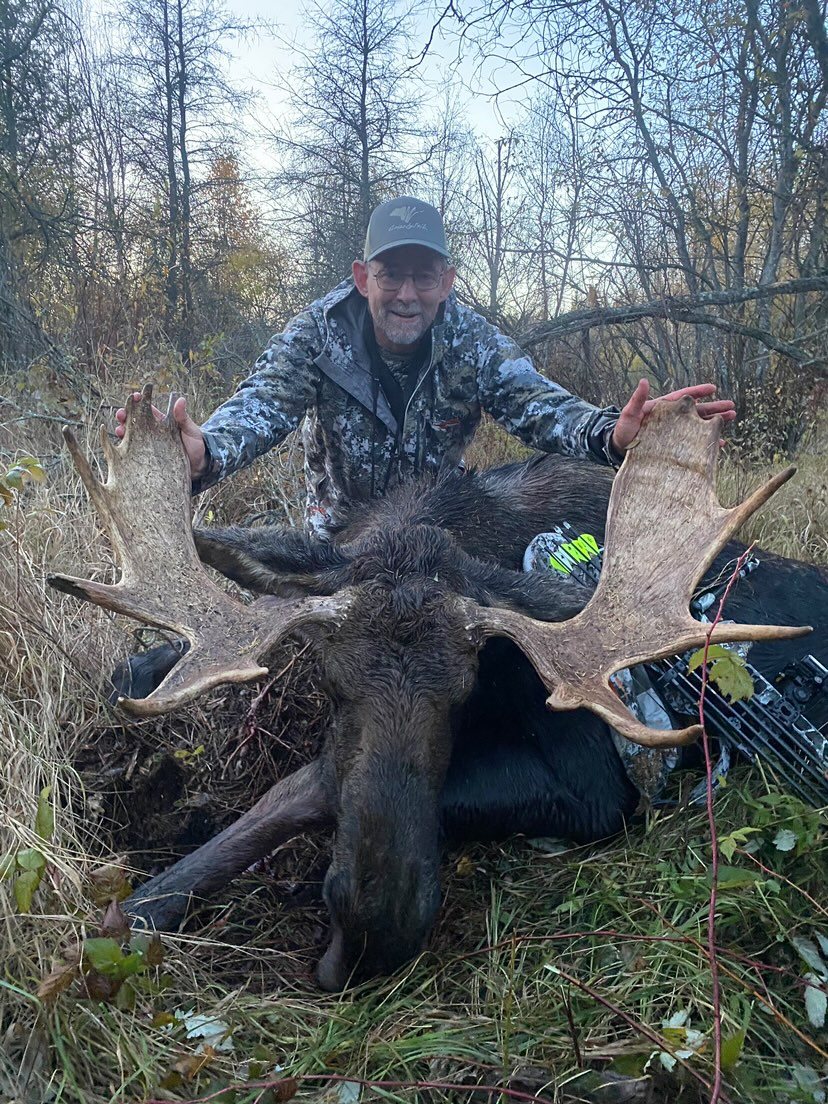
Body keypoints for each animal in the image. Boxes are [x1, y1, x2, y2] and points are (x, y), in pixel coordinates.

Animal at [48, 387, 826, 991]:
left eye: (466, 687)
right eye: (330, 678)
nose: (376, 930)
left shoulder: (601, 788)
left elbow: (308, 788)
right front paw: (142, 904)